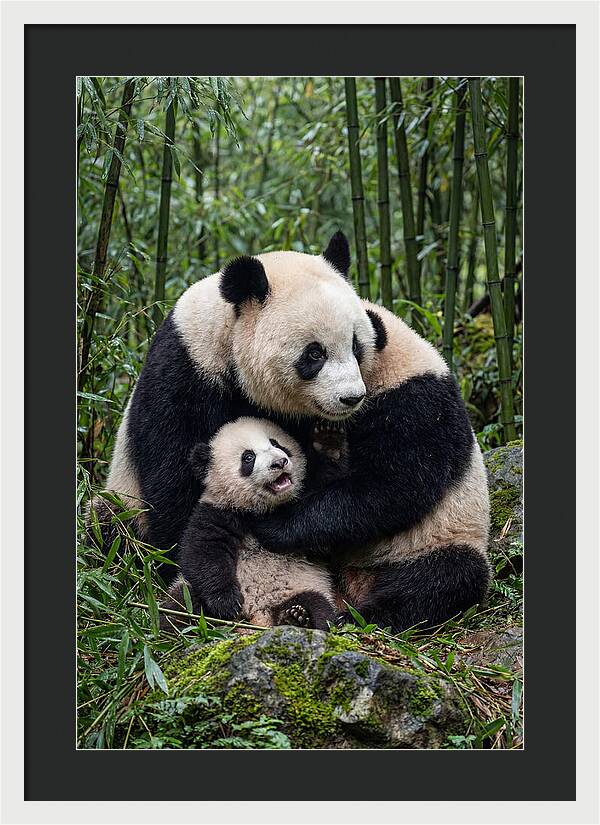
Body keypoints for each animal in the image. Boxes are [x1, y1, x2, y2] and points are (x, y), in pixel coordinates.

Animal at [160, 417, 337, 631]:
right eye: (248, 457)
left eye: (277, 444)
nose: (280, 462)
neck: (259, 509)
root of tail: (257, 615)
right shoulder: (217, 512)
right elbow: (203, 552)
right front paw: (227, 603)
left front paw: (328, 442)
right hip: (187, 591)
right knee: (179, 605)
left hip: (303, 586)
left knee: (318, 606)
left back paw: (297, 618)